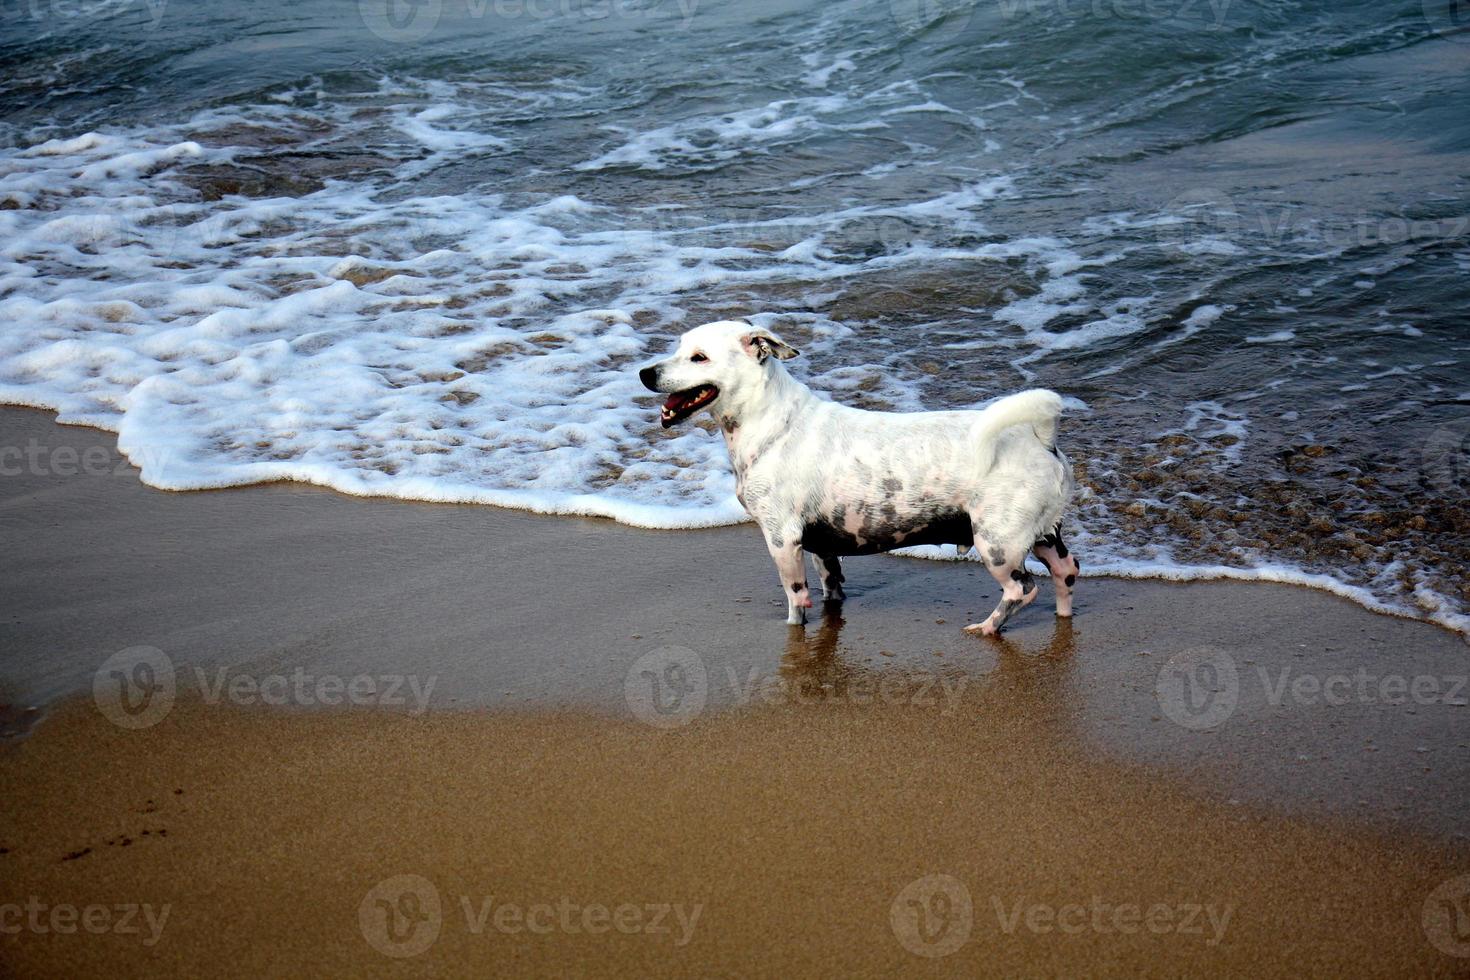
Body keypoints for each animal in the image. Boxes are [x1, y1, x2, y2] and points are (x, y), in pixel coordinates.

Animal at [640, 318, 1081, 631]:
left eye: (699, 357)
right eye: (678, 348)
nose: (645, 373)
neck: (773, 424)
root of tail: (1040, 440)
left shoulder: (783, 540)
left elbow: (796, 599)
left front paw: (794, 628)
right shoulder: (820, 545)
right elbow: (831, 585)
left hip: (997, 544)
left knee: (1021, 589)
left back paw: (988, 627)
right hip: (1042, 534)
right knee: (1066, 571)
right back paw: (1062, 618)